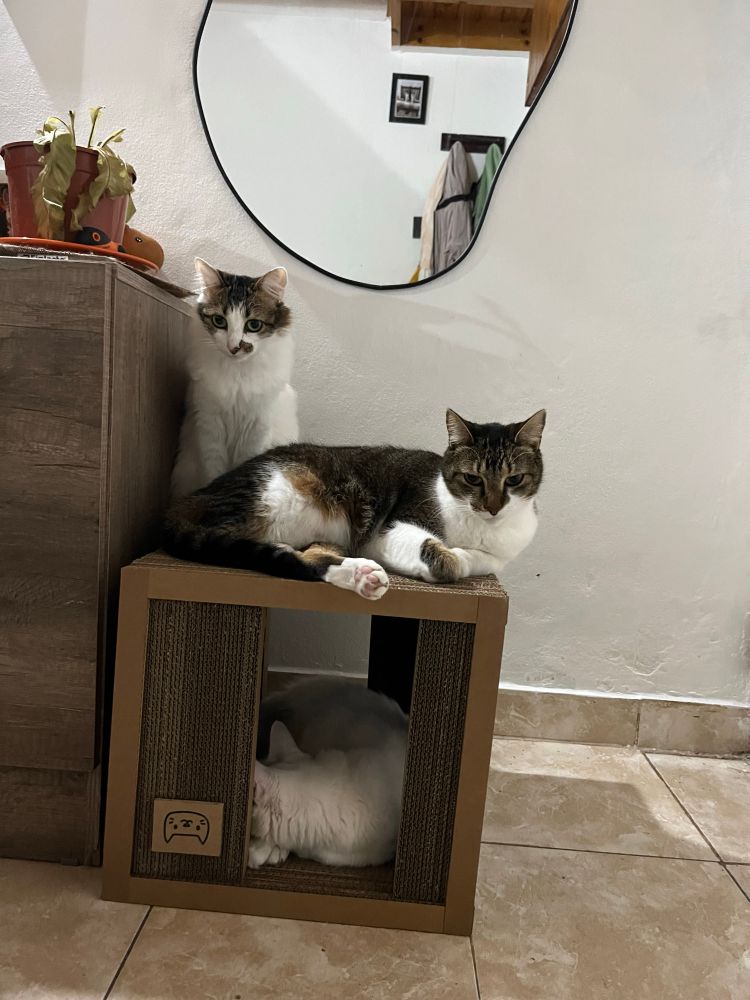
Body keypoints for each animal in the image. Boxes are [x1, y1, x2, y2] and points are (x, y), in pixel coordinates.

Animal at [163, 408, 545, 600]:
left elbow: (479, 560)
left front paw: (465, 556)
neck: (477, 526)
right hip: (274, 496)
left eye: (513, 480)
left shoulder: (501, 554)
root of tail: (193, 497)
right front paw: (451, 559)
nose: (493, 507)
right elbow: (443, 558)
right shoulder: (390, 529)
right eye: (473, 479)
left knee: (310, 556)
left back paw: (362, 576)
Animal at [170, 258, 299, 499]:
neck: (237, 375)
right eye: (219, 321)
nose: (234, 347)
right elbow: (212, 473)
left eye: (254, 325)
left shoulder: (257, 428)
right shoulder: (209, 425)